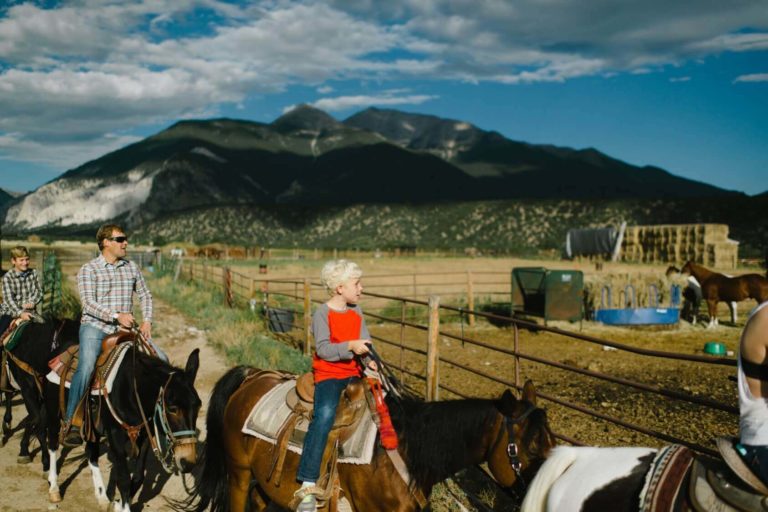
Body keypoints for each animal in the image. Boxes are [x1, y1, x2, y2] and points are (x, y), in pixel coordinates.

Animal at [42, 338, 202, 510]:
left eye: (199, 405)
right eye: (172, 409)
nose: (188, 462)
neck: (130, 390)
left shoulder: (145, 436)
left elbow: (138, 476)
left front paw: (119, 504)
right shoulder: (115, 436)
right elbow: (124, 479)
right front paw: (124, 508)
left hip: (92, 428)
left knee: (91, 453)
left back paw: (102, 497)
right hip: (53, 414)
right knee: (53, 444)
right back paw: (54, 488)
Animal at [187, 368, 560, 512]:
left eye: (551, 443)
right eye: (529, 447)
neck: (407, 452)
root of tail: (253, 375)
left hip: (264, 484)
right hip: (239, 475)